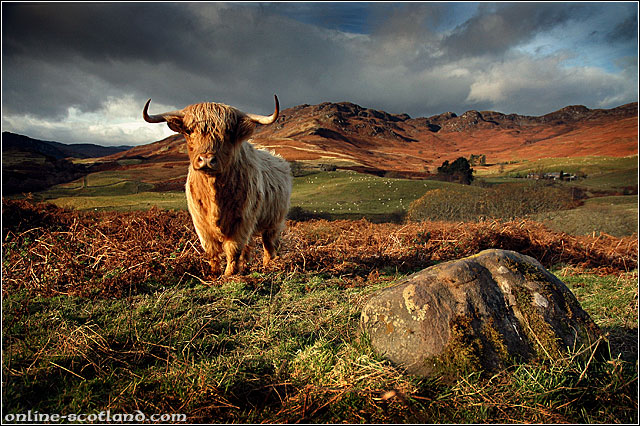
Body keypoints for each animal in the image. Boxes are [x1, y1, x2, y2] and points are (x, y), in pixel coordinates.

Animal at [143, 95, 292, 276]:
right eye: (189, 131)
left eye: (228, 132)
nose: (206, 159)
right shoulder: (201, 223)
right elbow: (211, 251)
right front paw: (214, 274)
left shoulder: (242, 220)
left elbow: (233, 249)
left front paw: (229, 274)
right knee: (249, 246)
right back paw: (246, 267)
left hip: (274, 221)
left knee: (269, 244)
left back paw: (268, 266)